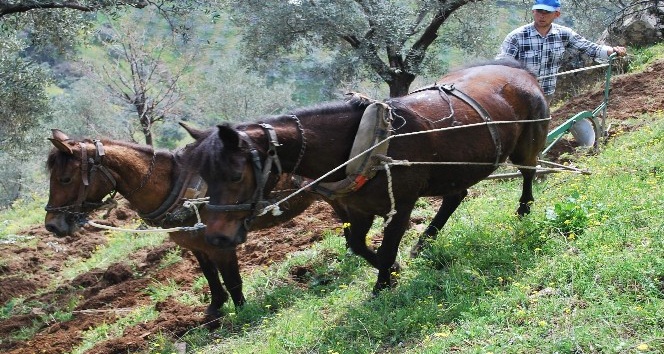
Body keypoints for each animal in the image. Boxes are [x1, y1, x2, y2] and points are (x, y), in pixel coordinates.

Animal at [44, 129, 320, 324]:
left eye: (65, 179)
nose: (51, 226)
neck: (177, 187)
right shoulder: (196, 245)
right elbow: (210, 275)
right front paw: (215, 308)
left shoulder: (221, 246)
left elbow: (232, 280)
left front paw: (242, 311)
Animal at [180, 60, 548, 294]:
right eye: (204, 177)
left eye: (234, 175)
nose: (216, 238)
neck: (363, 145)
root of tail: (519, 70)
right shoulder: (357, 209)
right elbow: (356, 245)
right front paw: (395, 271)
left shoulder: (401, 204)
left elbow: (384, 248)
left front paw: (382, 285)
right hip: (455, 169)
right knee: (455, 197)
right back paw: (424, 242)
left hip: (526, 144)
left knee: (528, 171)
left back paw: (524, 209)